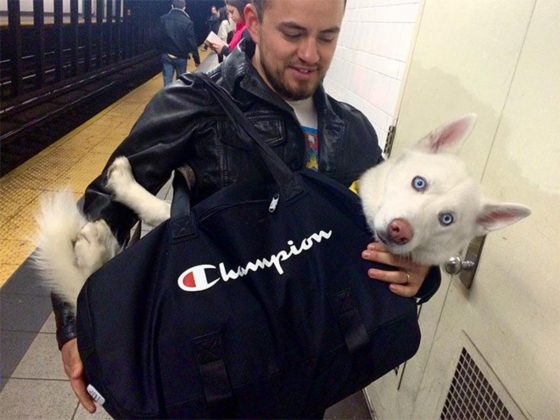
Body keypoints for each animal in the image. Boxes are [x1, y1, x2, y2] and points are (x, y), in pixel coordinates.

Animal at [32, 113, 532, 310]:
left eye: (448, 221)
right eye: (419, 183)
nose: (399, 232)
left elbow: (157, 209)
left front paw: (121, 185)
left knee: (85, 281)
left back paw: (92, 245)